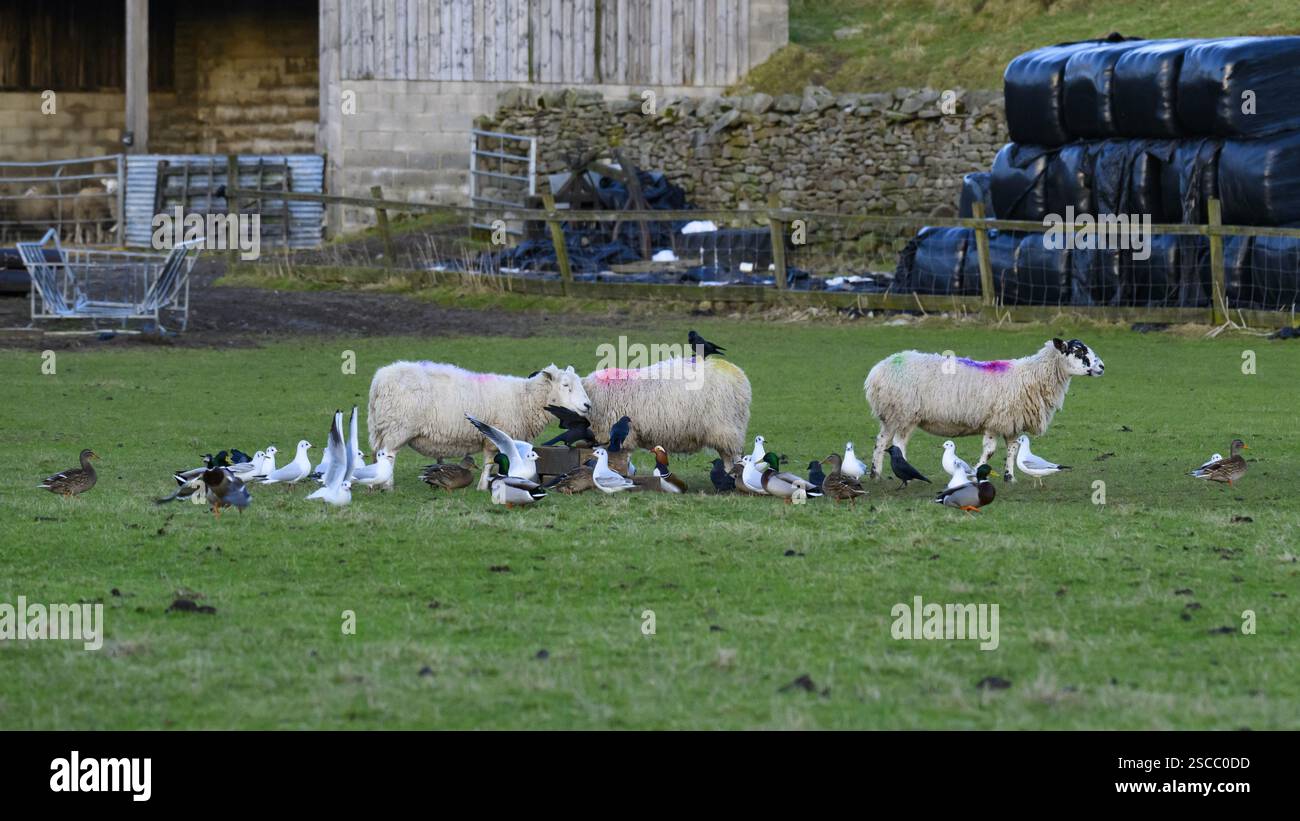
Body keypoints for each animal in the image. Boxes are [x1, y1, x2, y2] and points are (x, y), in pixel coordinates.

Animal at [367, 361, 592, 490]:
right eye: (566, 385)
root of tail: (379, 379)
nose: (588, 405)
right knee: (389, 455)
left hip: (383, 428)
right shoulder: (494, 436)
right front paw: (484, 486)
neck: (524, 399)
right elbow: (490, 462)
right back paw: (388, 486)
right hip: (398, 427)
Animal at [863, 338, 1104, 482]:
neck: (1031, 376)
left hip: (890, 416)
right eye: (1078, 351)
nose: (1102, 367)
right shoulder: (996, 421)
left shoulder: (1011, 423)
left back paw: (876, 473)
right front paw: (975, 473)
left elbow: (1012, 449)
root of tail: (877, 371)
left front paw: (1009, 477)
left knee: (881, 442)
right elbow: (990, 451)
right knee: (898, 443)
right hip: (905, 413)